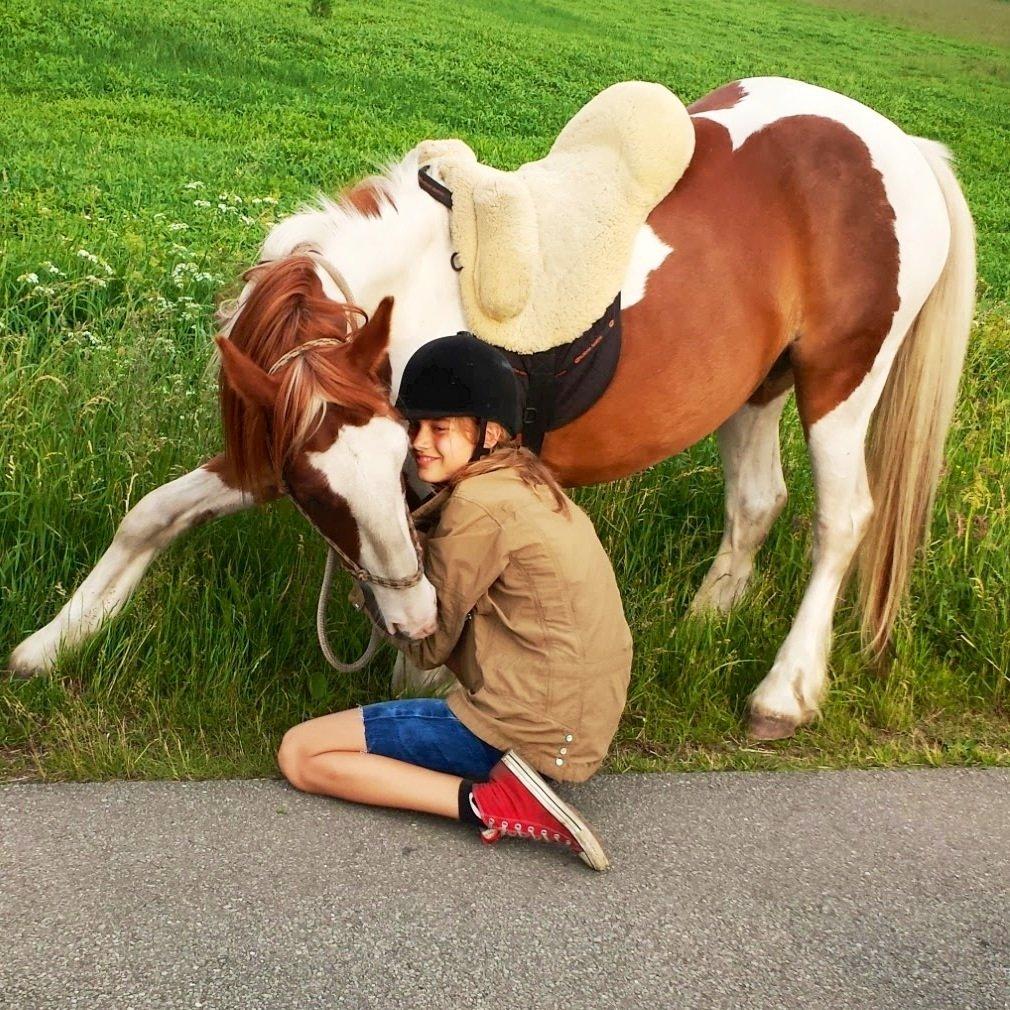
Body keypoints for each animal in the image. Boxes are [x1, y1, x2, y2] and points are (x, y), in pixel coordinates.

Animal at [5, 76, 969, 743]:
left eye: (402, 456)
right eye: (315, 493)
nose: (407, 622)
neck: (410, 302)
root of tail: (898, 141)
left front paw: (427, 681)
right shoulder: (280, 438)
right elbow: (153, 516)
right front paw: (52, 645)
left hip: (840, 382)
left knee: (842, 521)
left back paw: (784, 692)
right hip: (755, 389)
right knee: (757, 502)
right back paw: (701, 624)